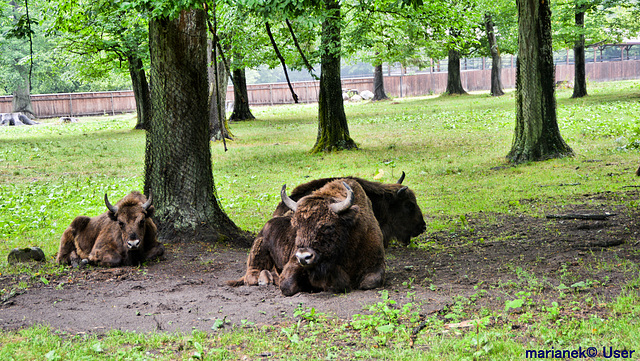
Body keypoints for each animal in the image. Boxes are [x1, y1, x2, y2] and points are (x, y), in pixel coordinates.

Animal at [228, 178, 382, 296]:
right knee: (251, 274)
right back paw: (264, 279)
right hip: (259, 251)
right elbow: (287, 285)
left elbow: (370, 282)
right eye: (296, 225)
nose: (303, 257)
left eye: (328, 226)